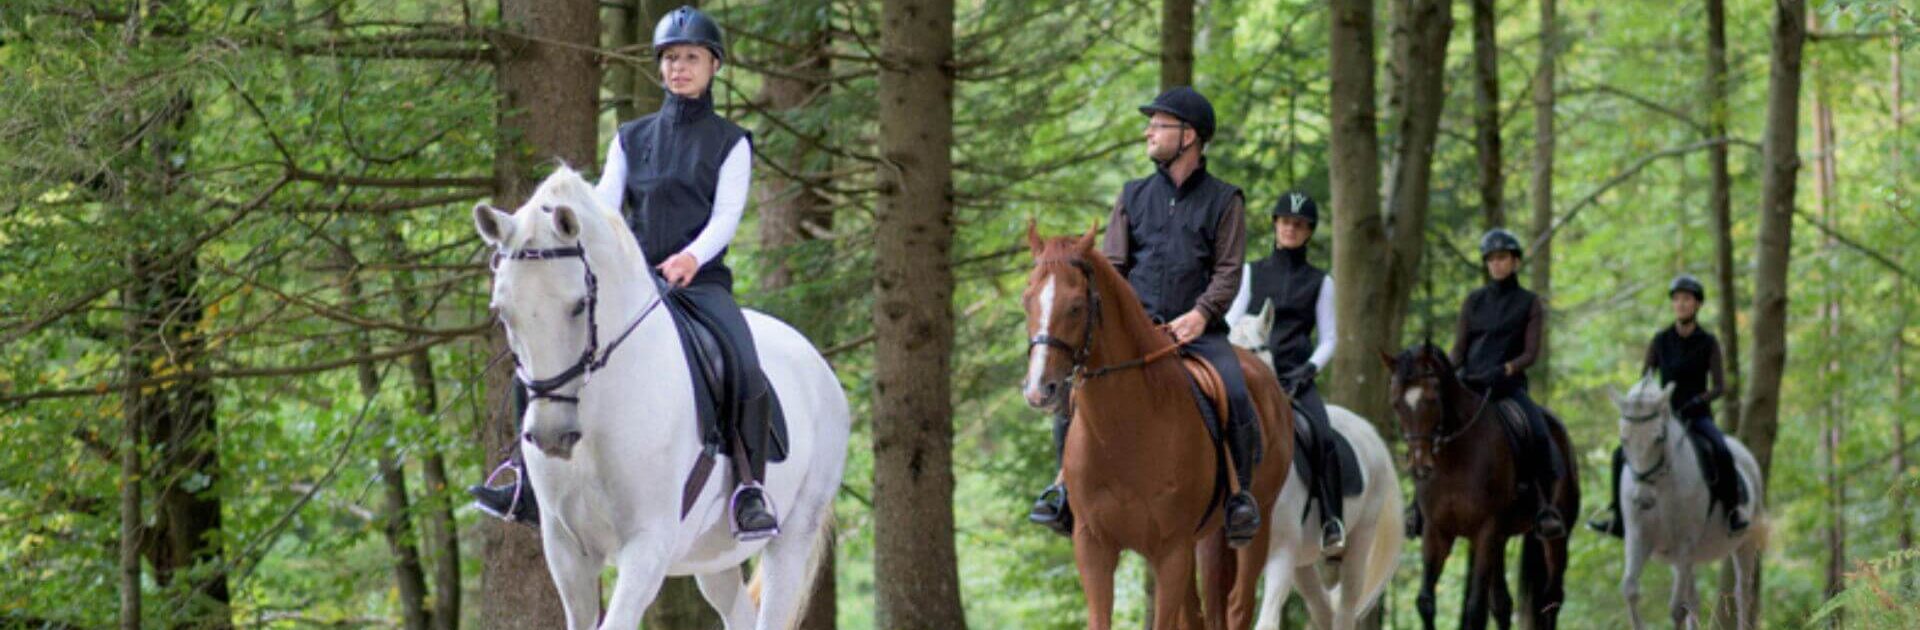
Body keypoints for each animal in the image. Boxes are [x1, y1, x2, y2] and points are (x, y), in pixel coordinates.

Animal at [472, 167, 850, 630]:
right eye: (502, 311)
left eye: (579, 306)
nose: (552, 436)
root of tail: (816, 363)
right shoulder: (566, 551)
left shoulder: (648, 543)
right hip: (712, 556)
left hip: (793, 537)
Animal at [1020, 222, 1293, 630]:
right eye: (1027, 301)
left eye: (1076, 306)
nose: (1039, 390)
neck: (1124, 431)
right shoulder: (1093, 544)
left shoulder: (1171, 550)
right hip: (1204, 541)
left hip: (1254, 528)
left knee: (1238, 606)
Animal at [1229, 302, 1404, 630]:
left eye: (1257, 350)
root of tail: (1369, 432)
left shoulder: (1281, 553)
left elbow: (1266, 621)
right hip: (1303, 562)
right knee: (1323, 609)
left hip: (1358, 542)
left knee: (1345, 608)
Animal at [1381, 344, 1578, 630]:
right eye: (1395, 403)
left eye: (1432, 398)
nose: (1420, 467)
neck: (1454, 456)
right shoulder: (1436, 530)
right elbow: (1426, 602)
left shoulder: (1486, 529)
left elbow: (1475, 610)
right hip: (1502, 538)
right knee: (1503, 604)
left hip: (1555, 537)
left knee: (1551, 600)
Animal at [1609, 374, 1766, 630]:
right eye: (1624, 439)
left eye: (1659, 437)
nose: (1643, 499)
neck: (1661, 486)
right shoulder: (1638, 538)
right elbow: (1630, 590)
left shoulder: (1684, 544)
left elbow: (1676, 610)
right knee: (1694, 600)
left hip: (1744, 542)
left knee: (1742, 593)